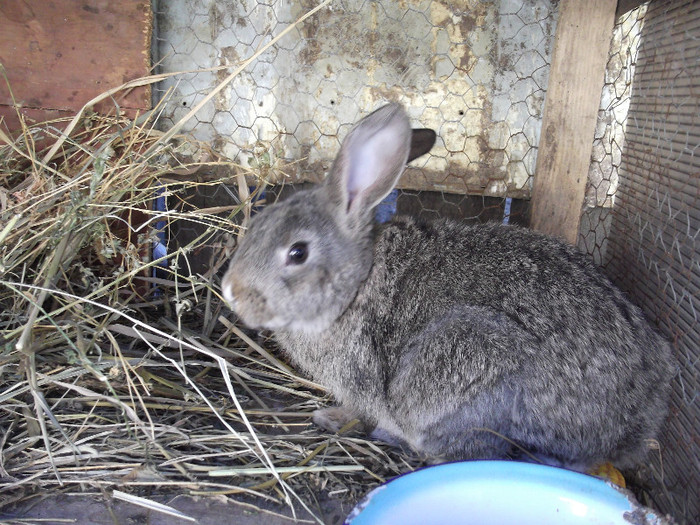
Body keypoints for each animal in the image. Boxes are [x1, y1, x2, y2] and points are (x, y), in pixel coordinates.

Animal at [221, 103, 676, 470]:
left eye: (297, 252)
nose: (230, 291)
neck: (358, 283)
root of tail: (635, 422)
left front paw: (335, 419)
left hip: (462, 362)